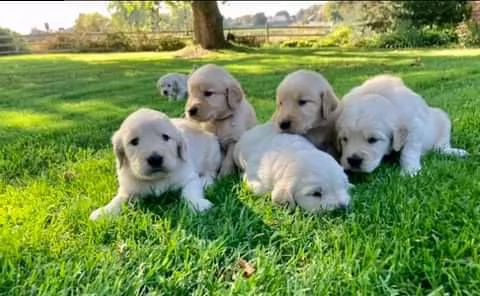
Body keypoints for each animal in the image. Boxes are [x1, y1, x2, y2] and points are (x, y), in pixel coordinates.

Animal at [88, 107, 219, 220]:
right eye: (134, 141)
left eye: (165, 137)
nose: (155, 159)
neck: (156, 178)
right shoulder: (128, 188)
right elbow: (118, 199)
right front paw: (104, 212)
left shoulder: (189, 177)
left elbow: (190, 191)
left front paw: (198, 204)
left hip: (213, 152)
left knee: (210, 172)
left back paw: (205, 182)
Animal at [336, 74, 466, 176]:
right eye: (344, 139)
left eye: (373, 139)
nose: (353, 160)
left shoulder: (414, 126)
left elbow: (409, 150)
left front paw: (410, 171)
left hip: (443, 120)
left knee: (442, 147)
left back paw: (455, 152)